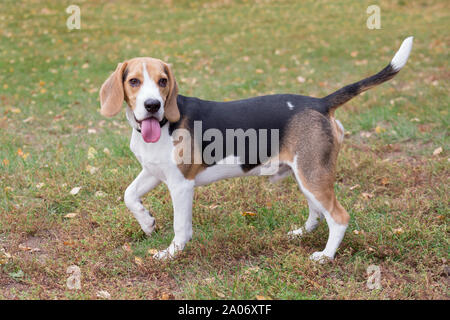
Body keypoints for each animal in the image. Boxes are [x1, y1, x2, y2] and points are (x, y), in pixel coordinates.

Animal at [100, 38, 414, 262]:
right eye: (134, 81)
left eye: (163, 81)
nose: (153, 105)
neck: (163, 123)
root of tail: (320, 102)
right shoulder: (153, 172)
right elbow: (129, 195)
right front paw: (148, 223)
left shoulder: (181, 184)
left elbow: (180, 227)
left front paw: (171, 253)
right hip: (305, 174)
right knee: (316, 211)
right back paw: (300, 234)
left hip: (312, 174)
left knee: (339, 217)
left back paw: (325, 256)